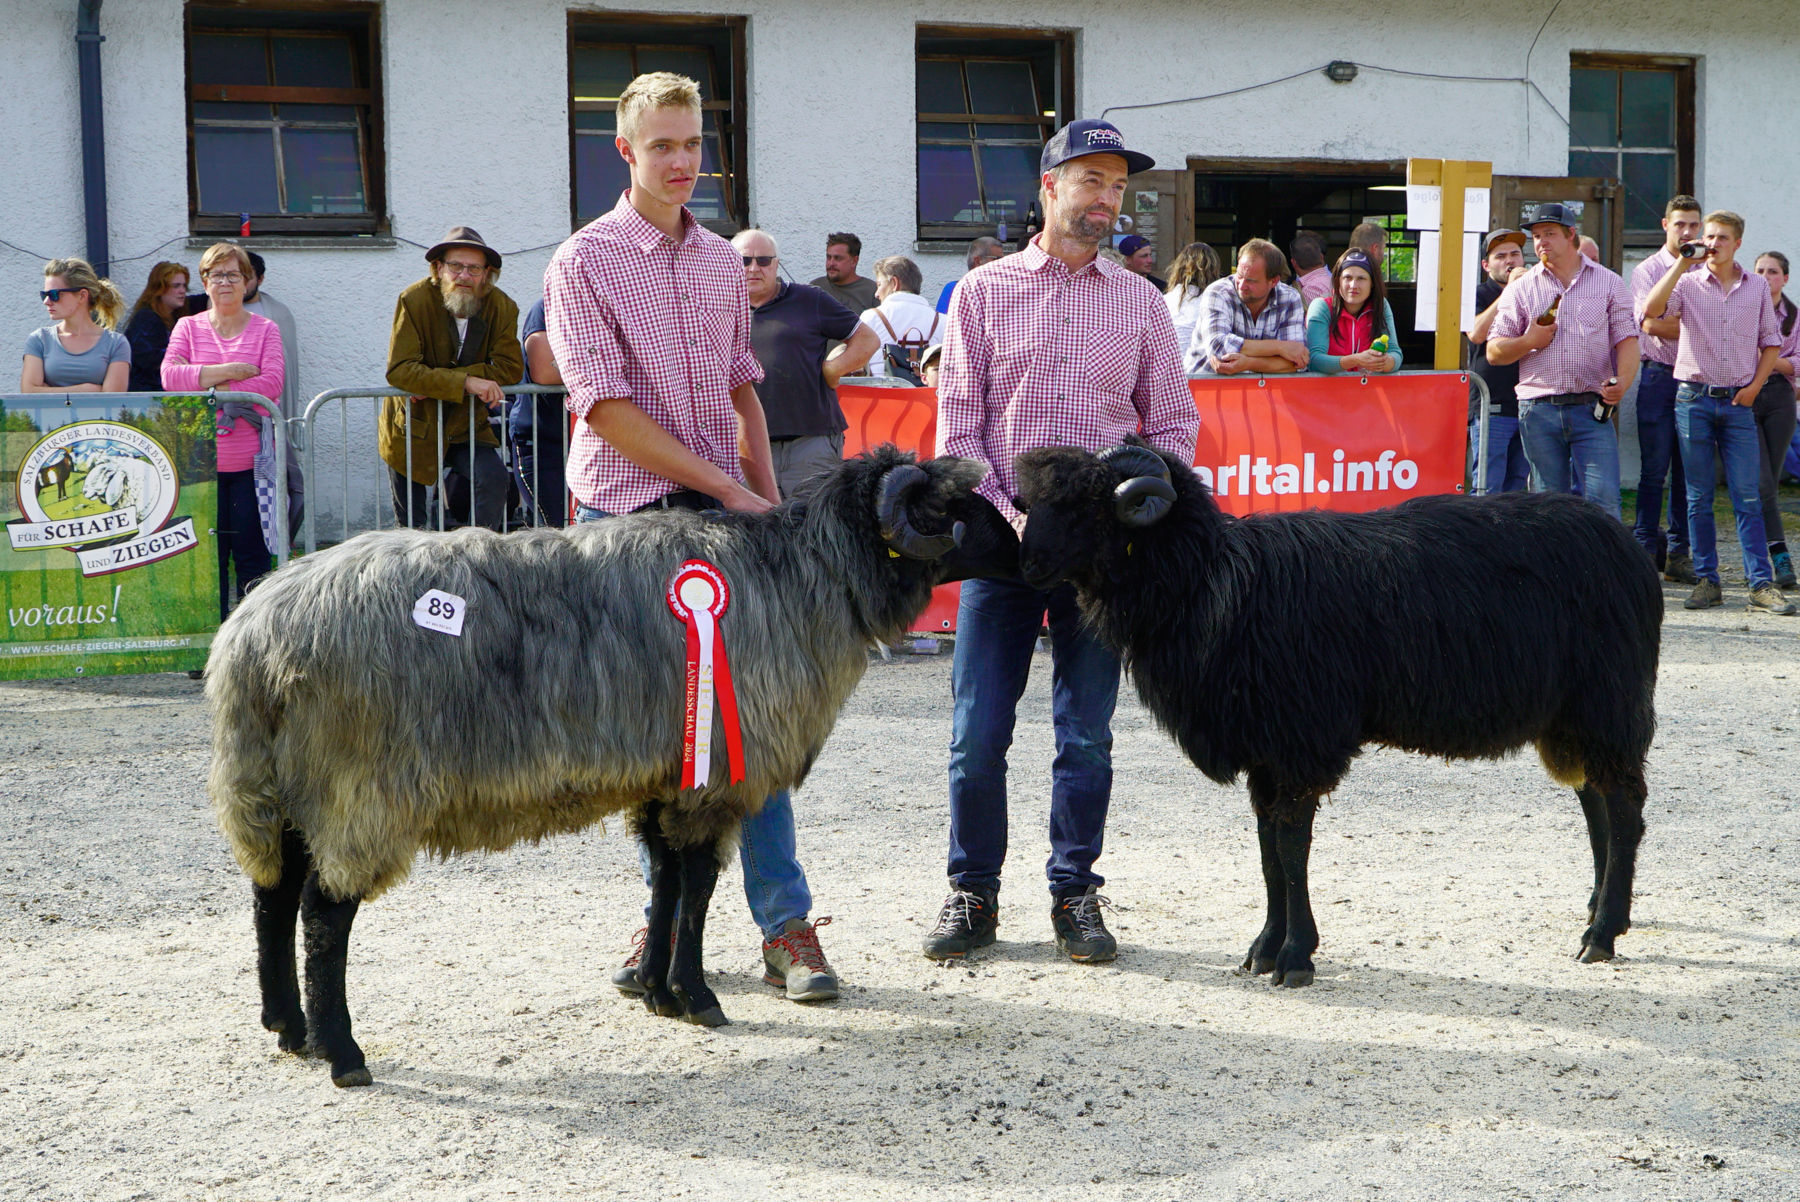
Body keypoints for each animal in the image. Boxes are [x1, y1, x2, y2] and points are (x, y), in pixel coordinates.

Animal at [210, 446, 1015, 1086]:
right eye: (953, 508)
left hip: (277, 785)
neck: (802, 577)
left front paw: (659, 991)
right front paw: (697, 997)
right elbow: (697, 886)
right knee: (323, 914)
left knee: (272, 894)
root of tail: (253, 638)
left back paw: (287, 1027)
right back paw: (342, 1052)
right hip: (359, 787)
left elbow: (665, 881)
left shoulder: (667, 775)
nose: (1027, 553)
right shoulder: (713, 779)